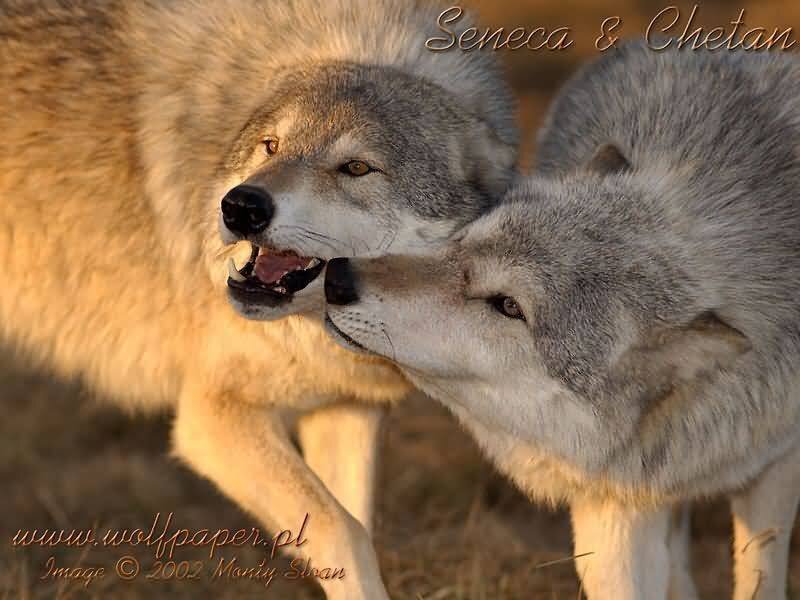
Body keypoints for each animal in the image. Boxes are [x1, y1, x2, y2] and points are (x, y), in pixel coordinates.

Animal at [0, 1, 518, 597]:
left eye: (356, 168)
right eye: (271, 146)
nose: (241, 206)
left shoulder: (345, 405)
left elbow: (354, 523)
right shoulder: (214, 417)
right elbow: (342, 528)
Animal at [323, 42, 800, 600]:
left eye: (508, 305)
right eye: (461, 243)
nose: (338, 277)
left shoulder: (774, 465)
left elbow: (760, 575)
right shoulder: (612, 499)